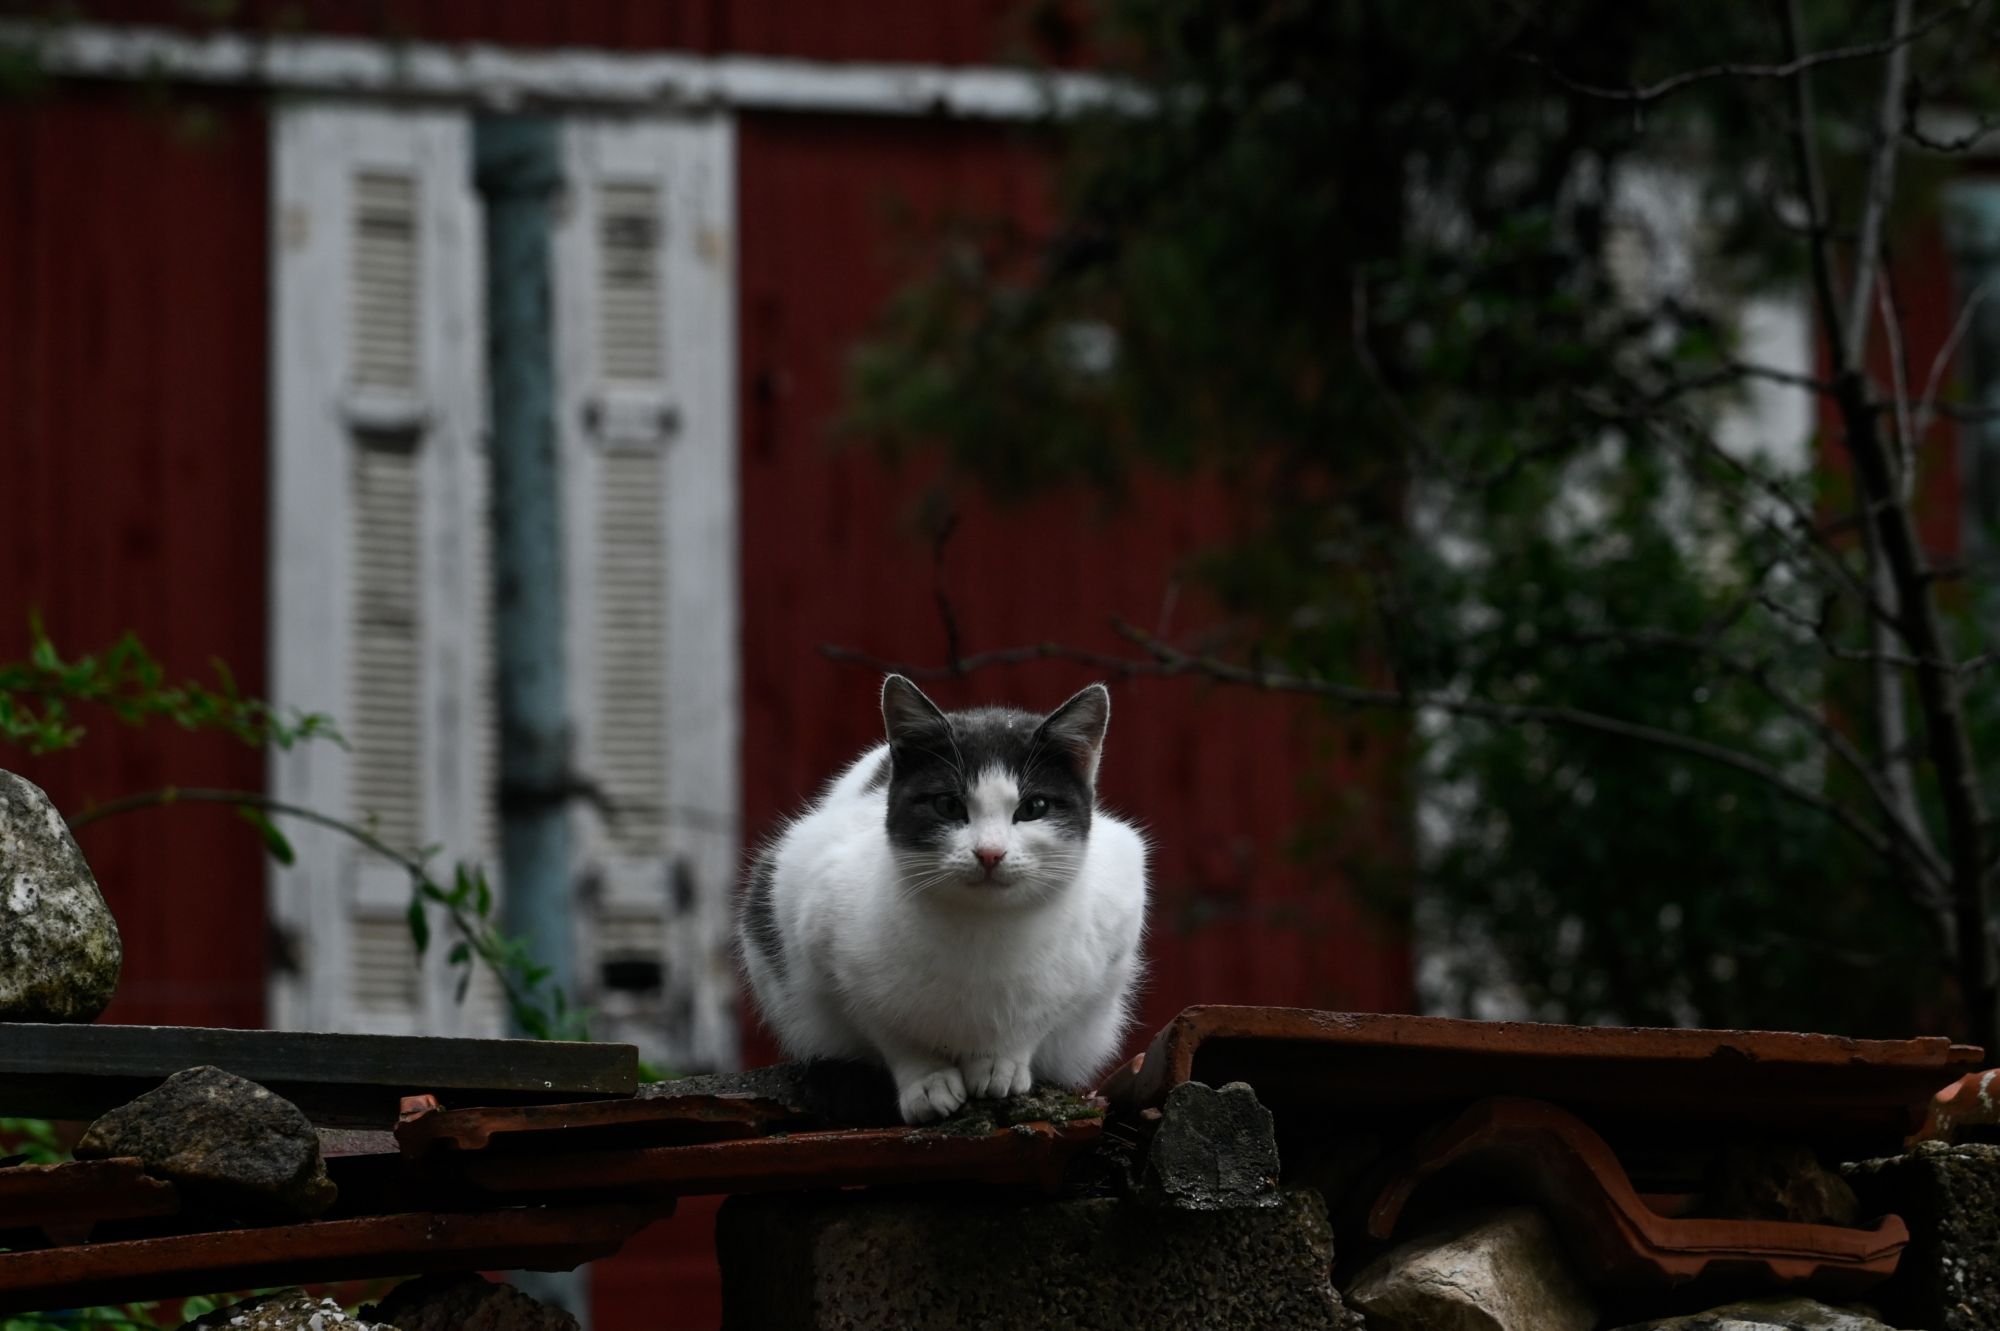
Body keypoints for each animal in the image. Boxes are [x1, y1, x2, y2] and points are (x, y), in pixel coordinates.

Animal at [740, 675, 1152, 1119]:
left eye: (1034, 807)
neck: (982, 931)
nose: (990, 853)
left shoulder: (1113, 930)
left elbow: (1037, 1022)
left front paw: (999, 1063)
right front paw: (927, 1081)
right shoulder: (824, 942)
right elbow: (891, 1033)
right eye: (949, 805)